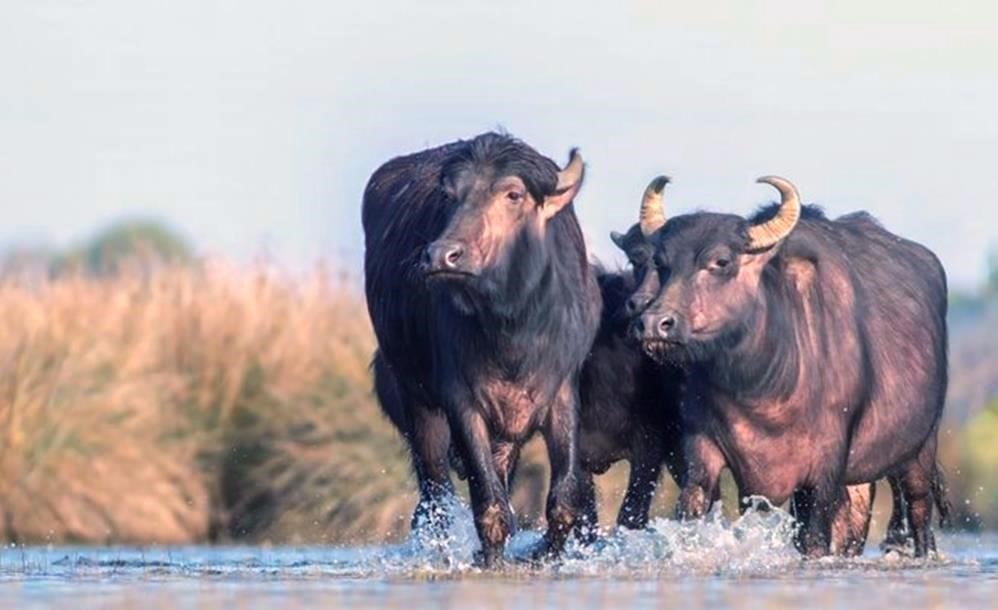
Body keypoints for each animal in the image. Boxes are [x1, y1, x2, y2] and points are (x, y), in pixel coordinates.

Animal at [368, 131, 600, 564]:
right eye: (449, 196)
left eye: (513, 194)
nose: (441, 255)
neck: (513, 329)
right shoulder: (460, 399)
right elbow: (489, 505)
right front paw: (490, 559)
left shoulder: (561, 392)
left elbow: (563, 501)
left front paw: (544, 554)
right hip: (414, 400)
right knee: (435, 496)